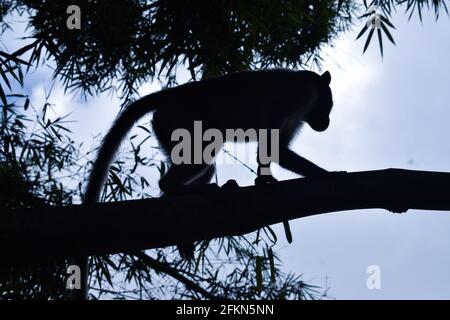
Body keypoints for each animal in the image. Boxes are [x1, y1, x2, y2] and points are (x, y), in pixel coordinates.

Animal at [82, 68, 332, 264]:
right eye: (328, 106)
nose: (327, 122)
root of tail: (175, 93)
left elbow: (275, 150)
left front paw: (263, 179)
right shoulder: (299, 97)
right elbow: (272, 146)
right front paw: (326, 174)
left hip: (167, 127)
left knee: (203, 164)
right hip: (179, 119)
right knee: (202, 154)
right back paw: (175, 187)